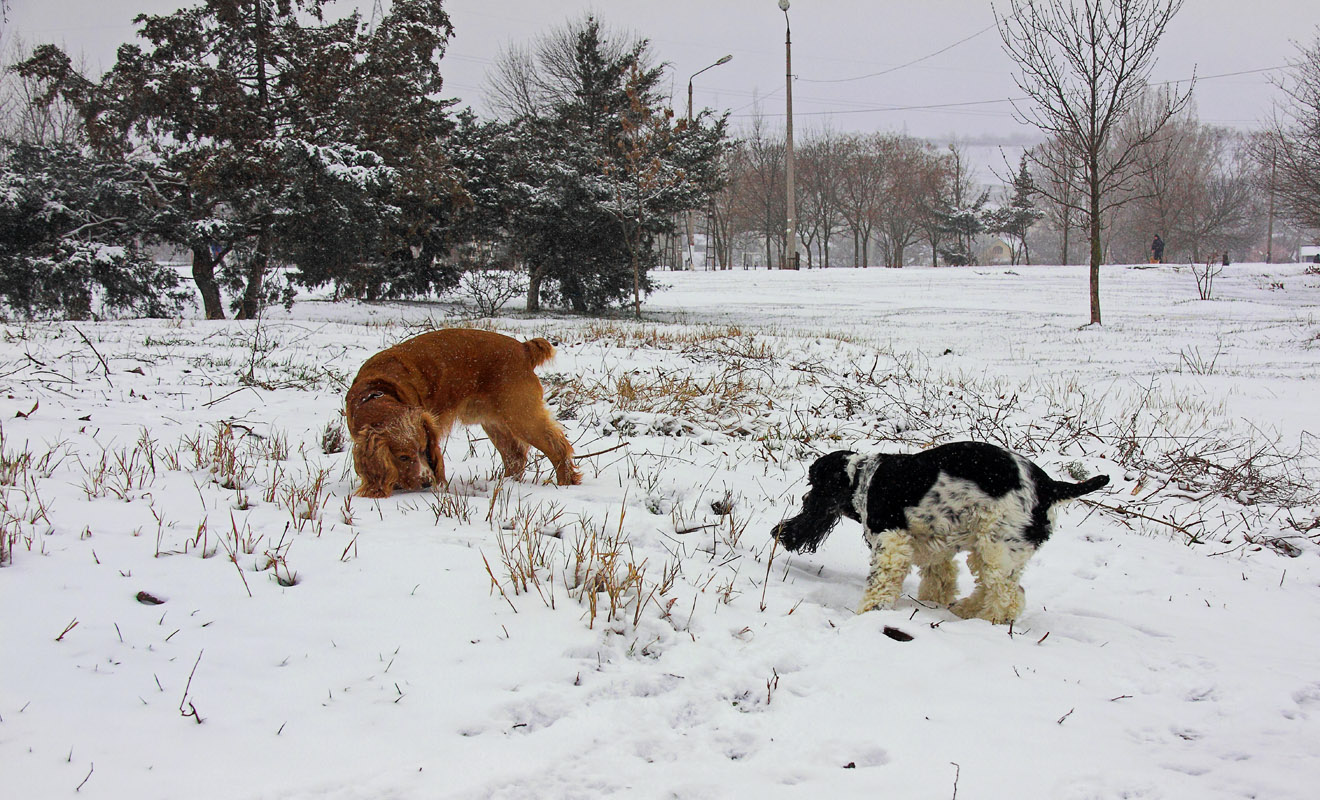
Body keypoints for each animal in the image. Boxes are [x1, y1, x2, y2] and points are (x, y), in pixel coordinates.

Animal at [348, 328, 580, 499]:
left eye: (424, 449)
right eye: (403, 457)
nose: (426, 481)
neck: (376, 391)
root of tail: (523, 348)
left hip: (520, 415)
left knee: (557, 447)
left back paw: (565, 483)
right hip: (494, 422)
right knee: (514, 456)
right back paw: (505, 485)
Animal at [770, 446, 1108, 628]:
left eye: (815, 485)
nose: (780, 532)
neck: (862, 478)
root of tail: (1051, 486)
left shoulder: (891, 542)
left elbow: (881, 582)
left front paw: (868, 613)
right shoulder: (930, 545)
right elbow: (940, 578)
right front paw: (932, 602)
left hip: (998, 547)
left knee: (1009, 596)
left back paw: (988, 621)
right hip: (987, 548)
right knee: (991, 588)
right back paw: (965, 610)